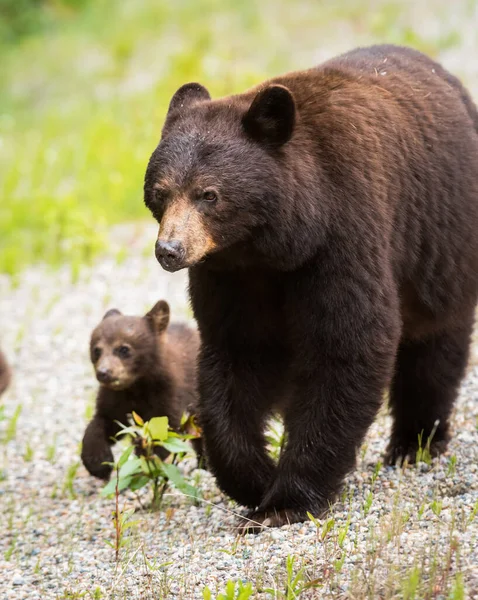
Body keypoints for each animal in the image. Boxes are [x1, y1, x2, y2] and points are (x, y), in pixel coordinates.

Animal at [143, 44, 478, 528]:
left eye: (209, 194)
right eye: (161, 192)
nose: (169, 250)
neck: (275, 245)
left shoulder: (342, 239)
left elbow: (347, 346)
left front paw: (286, 500)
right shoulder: (230, 275)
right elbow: (235, 355)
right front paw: (254, 477)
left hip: (441, 238)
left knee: (436, 344)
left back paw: (414, 444)